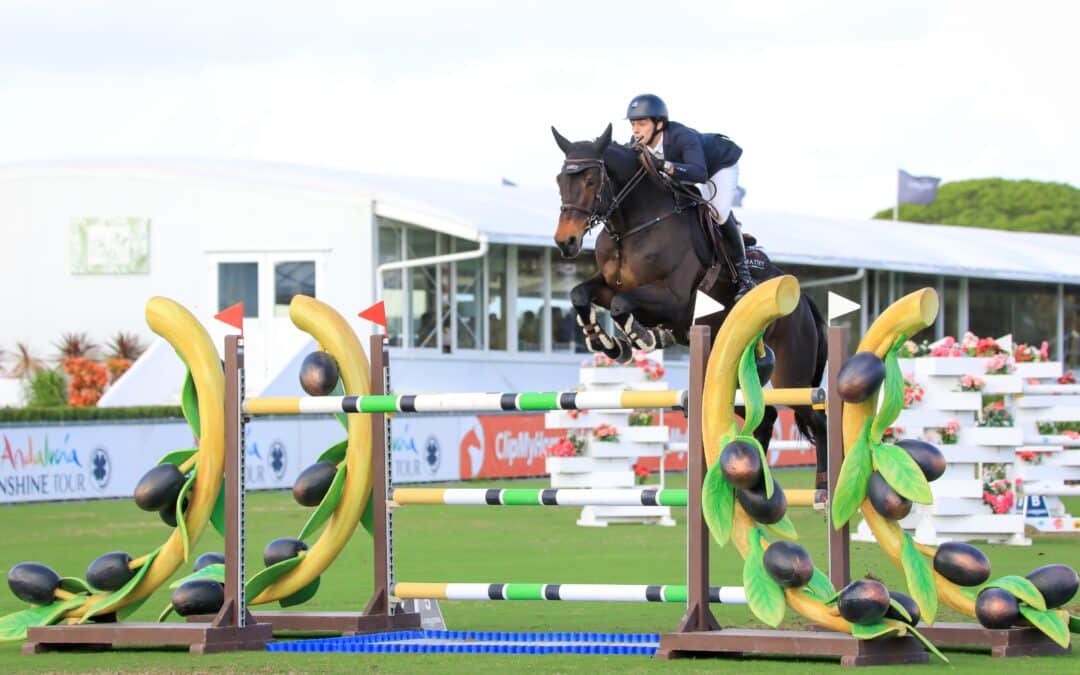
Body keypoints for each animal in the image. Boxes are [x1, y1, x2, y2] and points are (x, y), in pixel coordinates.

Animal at [552, 122, 829, 490]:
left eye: (591, 181)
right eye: (560, 180)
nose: (565, 242)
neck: (634, 226)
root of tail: (805, 302)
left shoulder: (675, 300)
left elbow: (623, 306)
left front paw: (645, 338)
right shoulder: (609, 286)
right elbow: (580, 295)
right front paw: (607, 343)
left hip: (792, 376)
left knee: (816, 419)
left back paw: (824, 487)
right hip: (724, 375)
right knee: (765, 417)